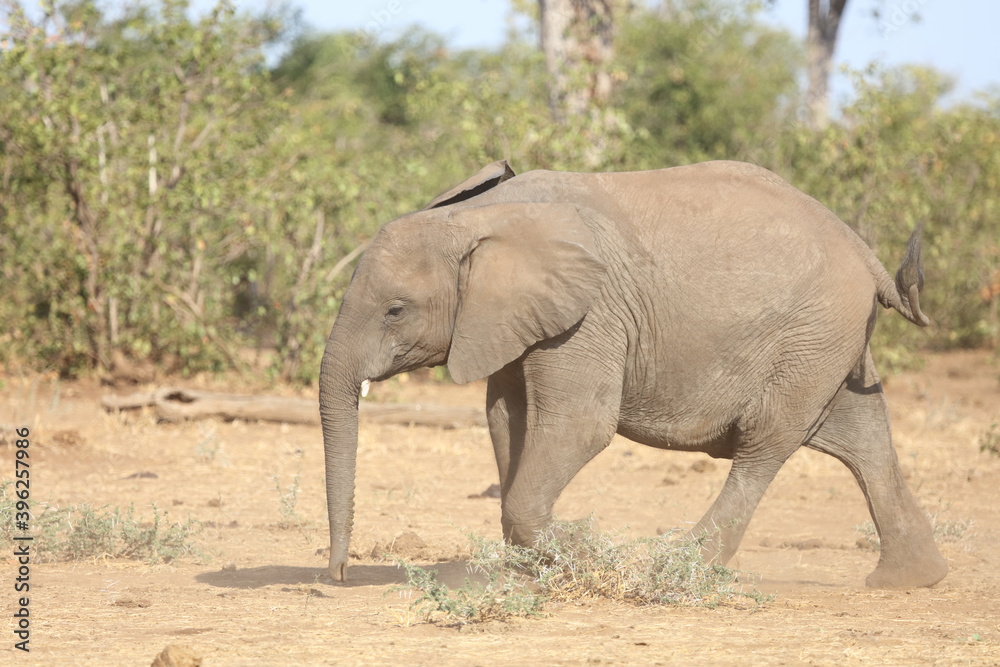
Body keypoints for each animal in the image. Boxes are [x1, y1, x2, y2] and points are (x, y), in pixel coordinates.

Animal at [316, 160, 948, 588]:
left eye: (395, 310)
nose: (339, 575)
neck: (477, 218)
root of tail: (864, 251)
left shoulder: (590, 313)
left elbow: (579, 427)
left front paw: (583, 548)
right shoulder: (512, 318)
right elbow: (504, 419)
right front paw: (533, 567)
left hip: (811, 335)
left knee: (766, 445)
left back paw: (682, 566)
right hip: (829, 340)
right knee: (862, 433)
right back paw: (909, 579)